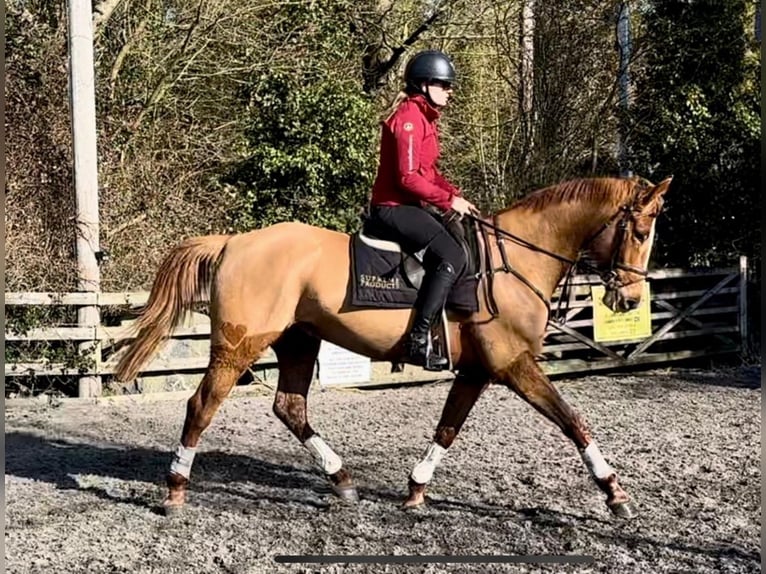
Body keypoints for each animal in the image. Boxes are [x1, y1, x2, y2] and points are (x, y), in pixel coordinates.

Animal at [114, 177, 672, 520]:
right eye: (641, 231)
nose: (629, 299)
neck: (514, 260)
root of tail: (234, 241)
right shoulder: (514, 365)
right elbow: (573, 421)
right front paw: (614, 491)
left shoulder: (476, 370)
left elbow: (447, 428)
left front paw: (416, 489)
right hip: (240, 345)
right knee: (201, 405)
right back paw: (175, 489)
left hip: (299, 340)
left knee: (290, 407)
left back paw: (342, 480)